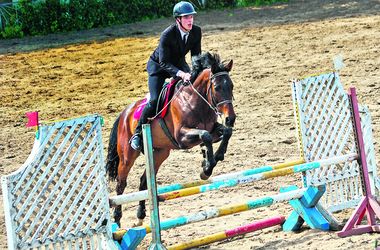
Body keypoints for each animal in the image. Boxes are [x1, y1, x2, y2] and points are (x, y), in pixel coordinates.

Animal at [106, 52, 235, 227]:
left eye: (231, 86)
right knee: (121, 184)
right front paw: (207, 168)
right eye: (217, 88)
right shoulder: (182, 137)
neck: (194, 100)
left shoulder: (213, 129)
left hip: (160, 153)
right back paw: (117, 220)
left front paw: (213, 159)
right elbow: (205, 136)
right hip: (127, 156)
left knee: (144, 181)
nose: (230, 119)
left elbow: (225, 132)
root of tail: (124, 113)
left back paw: (140, 215)